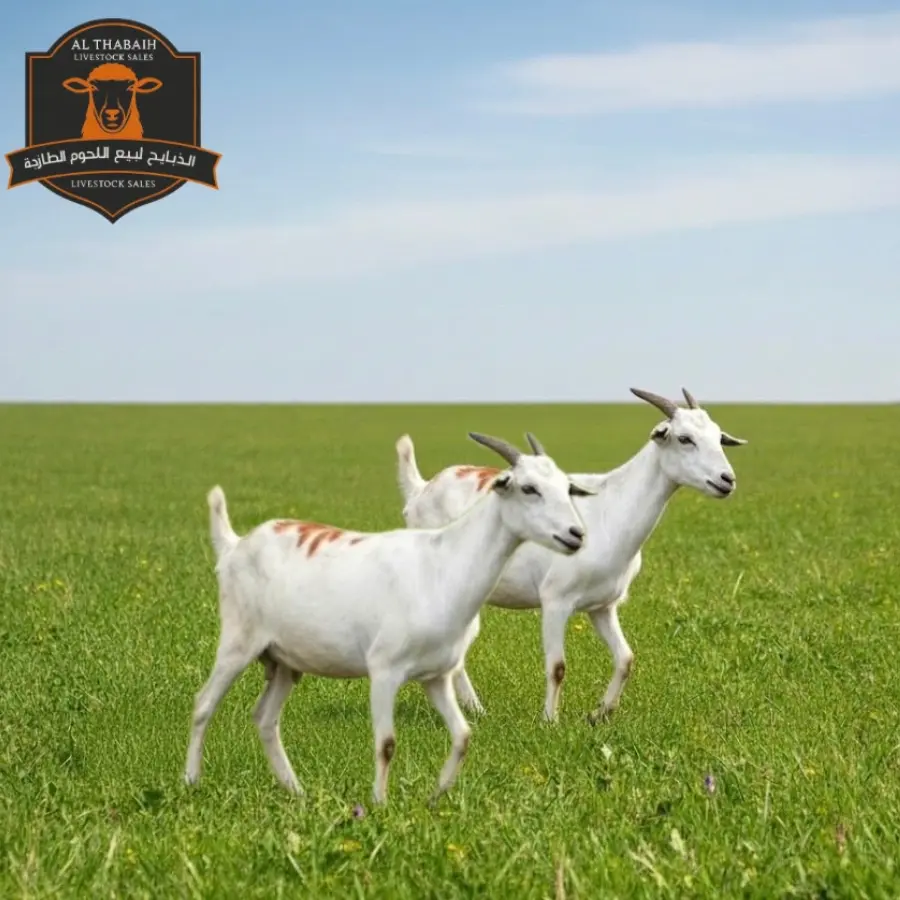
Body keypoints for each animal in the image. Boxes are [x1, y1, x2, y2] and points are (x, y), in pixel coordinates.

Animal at [183, 431, 591, 806]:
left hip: (285, 662)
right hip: (238, 642)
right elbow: (386, 742)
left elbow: (462, 735)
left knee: (265, 718)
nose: (576, 535)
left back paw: (296, 791)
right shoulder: (383, 670)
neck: (442, 564)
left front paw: (436, 795)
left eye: (567, 487)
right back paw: (191, 782)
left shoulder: (436, 677)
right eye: (528, 488)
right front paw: (379, 805)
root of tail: (234, 546)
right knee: (203, 704)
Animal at [396, 387, 748, 723]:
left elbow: (626, 658)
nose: (727, 480)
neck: (609, 505)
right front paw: (550, 721)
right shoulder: (556, 601)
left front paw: (600, 713)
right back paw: (475, 709)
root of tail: (421, 490)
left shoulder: (602, 607)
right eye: (684, 438)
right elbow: (557, 666)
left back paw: (475, 710)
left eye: (718, 436)